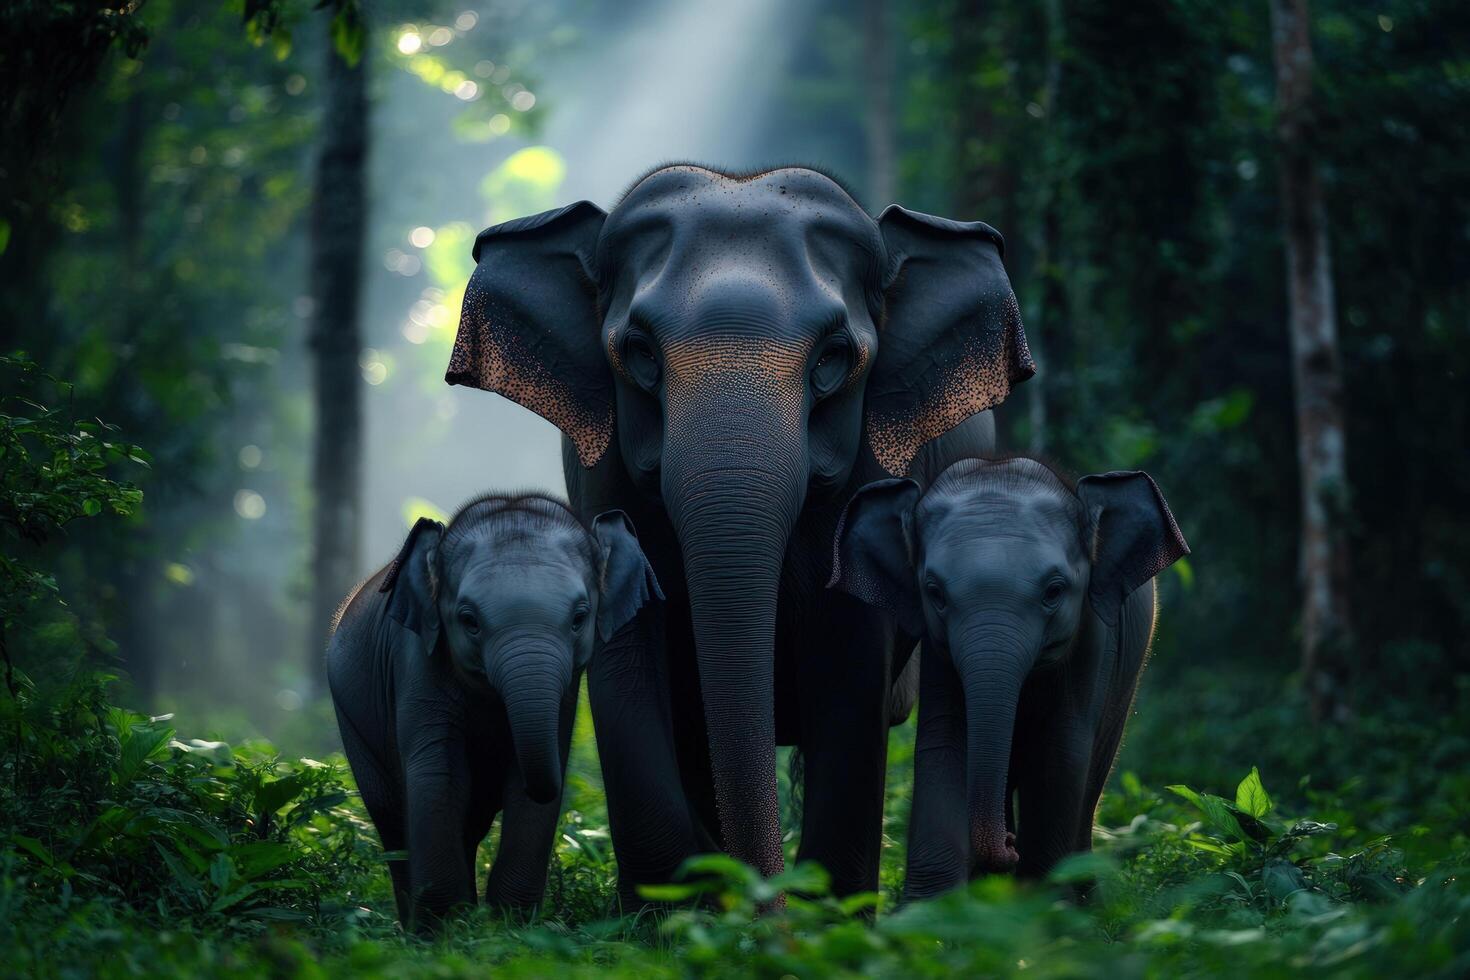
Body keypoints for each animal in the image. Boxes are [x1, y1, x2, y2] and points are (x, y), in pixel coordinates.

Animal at [326, 493, 661, 930]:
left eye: (580, 618)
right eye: (469, 621)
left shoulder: (566, 690)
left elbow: (527, 782)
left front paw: (507, 927)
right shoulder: (417, 661)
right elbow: (440, 776)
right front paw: (445, 932)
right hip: (352, 724)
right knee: (392, 817)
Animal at [444, 164, 1034, 899]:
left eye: (834, 360)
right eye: (639, 354)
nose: (764, 896)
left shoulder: (876, 466)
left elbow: (849, 661)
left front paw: (823, 909)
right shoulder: (598, 469)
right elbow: (627, 656)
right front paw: (674, 904)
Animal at [829, 457, 1189, 900]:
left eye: (1054, 591)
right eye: (935, 592)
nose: (1009, 846)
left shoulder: (1092, 637)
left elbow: (1061, 750)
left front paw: (1047, 907)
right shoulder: (940, 654)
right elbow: (947, 741)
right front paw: (928, 911)